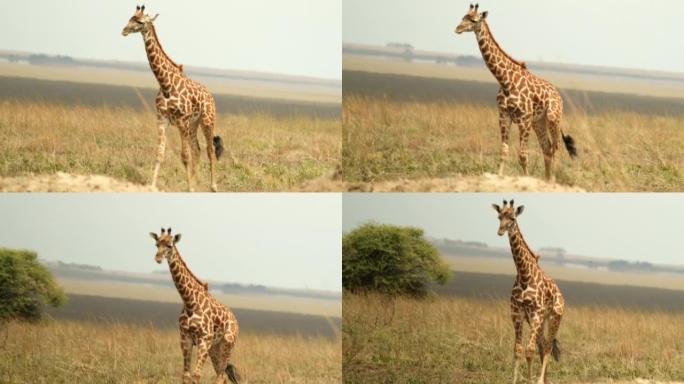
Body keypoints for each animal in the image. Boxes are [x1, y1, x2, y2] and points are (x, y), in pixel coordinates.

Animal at [120, 5, 222, 191]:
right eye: (130, 18)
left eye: (140, 21)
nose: (124, 30)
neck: (165, 84)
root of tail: (210, 95)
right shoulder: (161, 119)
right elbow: (159, 153)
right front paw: (153, 185)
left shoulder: (181, 121)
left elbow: (185, 156)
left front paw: (190, 188)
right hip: (193, 124)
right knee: (197, 149)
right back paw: (195, 182)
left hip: (207, 121)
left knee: (210, 150)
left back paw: (212, 186)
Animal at [148, 228, 239, 384]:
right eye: (157, 244)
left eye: (170, 245)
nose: (158, 258)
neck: (190, 302)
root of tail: (235, 321)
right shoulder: (185, 339)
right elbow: (186, 376)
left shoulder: (204, 340)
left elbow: (196, 376)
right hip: (214, 348)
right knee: (221, 375)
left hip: (227, 344)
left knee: (221, 375)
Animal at [454, 4, 576, 182]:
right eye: (463, 17)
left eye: (474, 20)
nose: (457, 28)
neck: (505, 81)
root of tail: (559, 95)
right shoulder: (504, 116)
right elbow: (504, 151)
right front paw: (499, 176)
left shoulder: (524, 119)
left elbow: (523, 155)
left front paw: (526, 178)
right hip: (538, 122)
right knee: (546, 148)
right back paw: (546, 179)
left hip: (553, 118)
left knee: (556, 146)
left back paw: (552, 179)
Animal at [492, 200, 568, 382]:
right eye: (499, 216)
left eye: (512, 218)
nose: (500, 231)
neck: (524, 275)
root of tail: (561, 295)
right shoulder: (517, 313)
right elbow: (518, 349)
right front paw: (515, 380)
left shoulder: (536, 313)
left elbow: (529, 350)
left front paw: (531, 379)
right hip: (539, 320)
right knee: (543, 344)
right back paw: (545, 379)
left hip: (553, 317)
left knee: (547, 346)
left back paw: (541, 379)